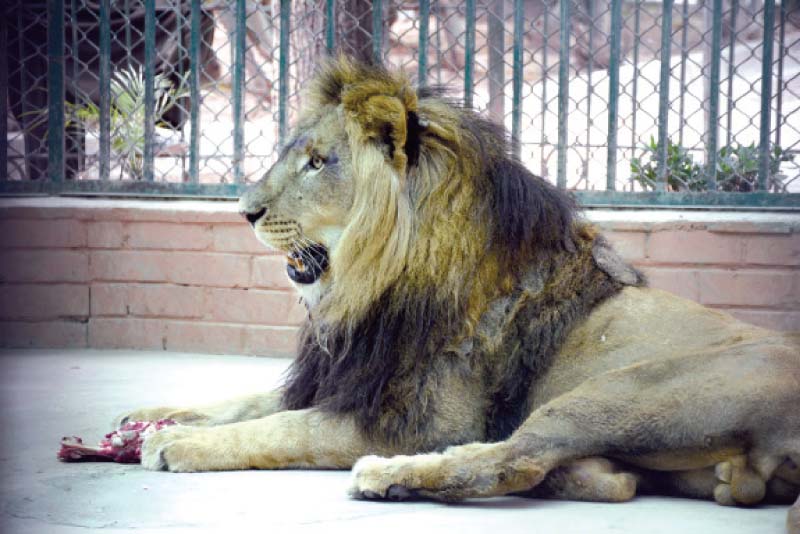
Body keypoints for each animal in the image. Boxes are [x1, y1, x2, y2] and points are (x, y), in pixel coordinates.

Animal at [119, 57, 800, 532]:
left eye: (318, 162)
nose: (244, 211)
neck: (367, 290)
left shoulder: (420, 420)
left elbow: (285, 429)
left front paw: (176, 443)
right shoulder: (350, 379)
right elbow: (249, 402)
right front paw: (151, 417)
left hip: (618, 392)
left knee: (513, 460)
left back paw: (387, 477)